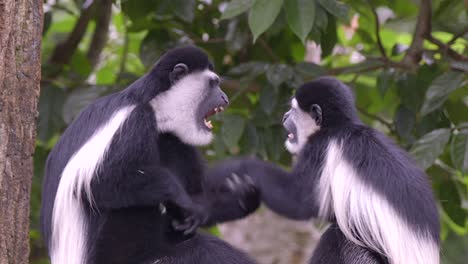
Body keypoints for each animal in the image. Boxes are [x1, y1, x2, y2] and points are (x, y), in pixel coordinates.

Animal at [40, 46, 260, 264]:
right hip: (107, 248)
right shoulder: (135, 121)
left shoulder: (176, 137)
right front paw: (180, 196)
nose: (225, 98)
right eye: (213, 84)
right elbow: (99, 184)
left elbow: (199, 191)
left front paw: (242, 193)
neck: (153, 106)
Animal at [218, 76, 440, 262]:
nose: (284, 117)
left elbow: (297, 200)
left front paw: (240, 167)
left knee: (338, 238)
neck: (339, 125)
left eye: (293, 111)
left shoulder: (320, 146)